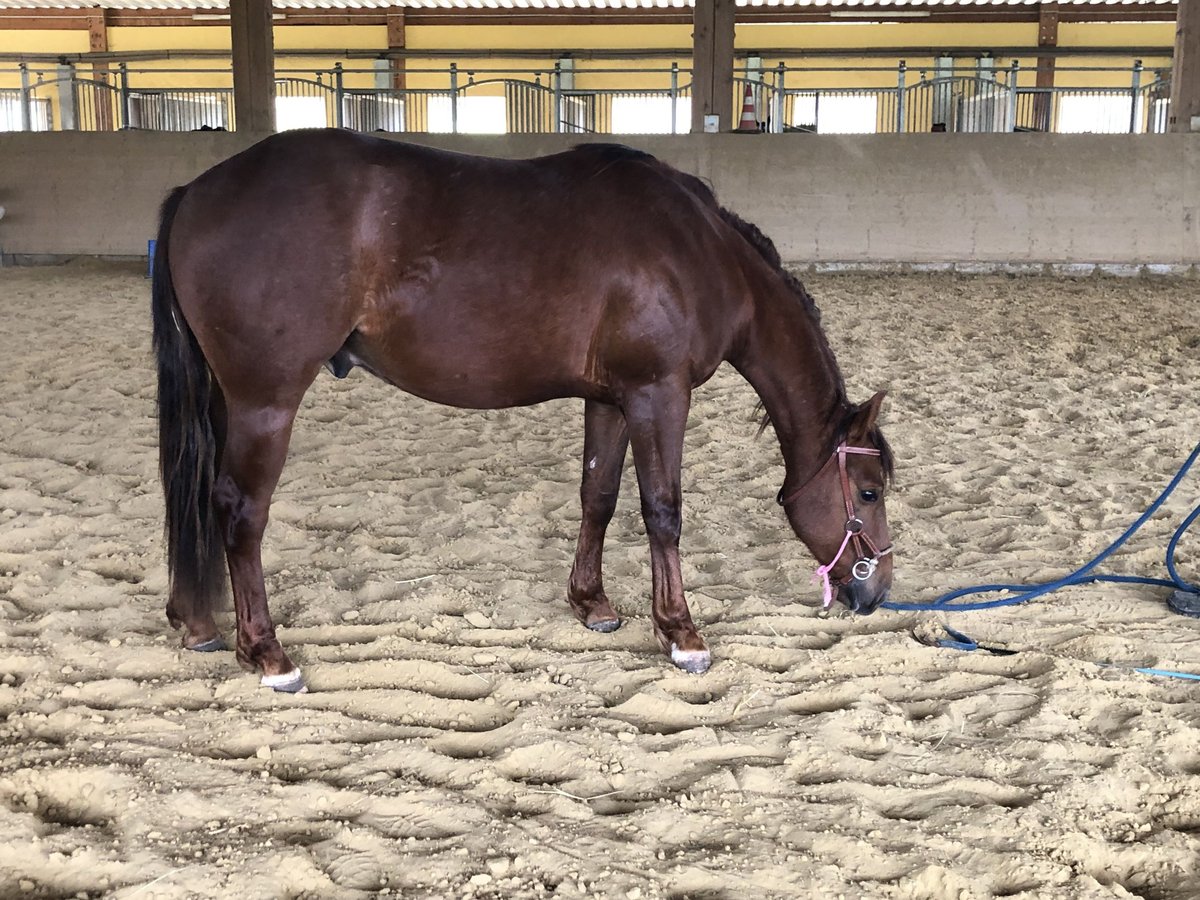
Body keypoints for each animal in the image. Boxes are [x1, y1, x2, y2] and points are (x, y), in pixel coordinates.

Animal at [152, 127, 892, 696]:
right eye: (869, 491)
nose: (877, 591)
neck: (699, 251)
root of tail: (197, 192)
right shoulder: (659, 394)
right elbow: (662, 511)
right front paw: (681, 633)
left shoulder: (612, 399)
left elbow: (598, 496)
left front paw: (593, 604)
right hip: (265, 401)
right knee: (240, 510)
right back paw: (268, 652)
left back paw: (200, 623)